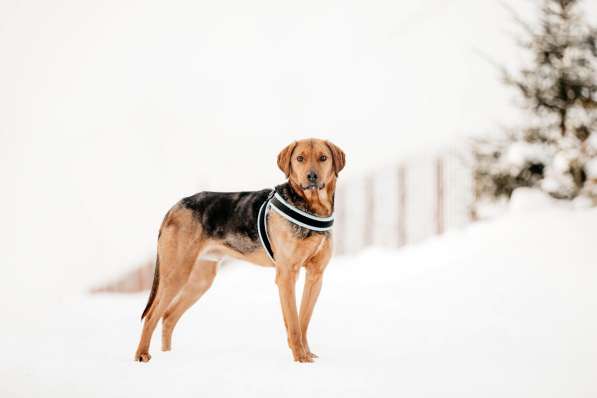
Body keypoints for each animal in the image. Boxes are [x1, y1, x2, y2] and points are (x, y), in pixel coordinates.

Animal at [134, 138, 344, 362]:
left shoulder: (315, 275)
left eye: (323, 157)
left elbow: (303, 320)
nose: (311, 177)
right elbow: (294, 323)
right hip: (176, 274)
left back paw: (168, 356)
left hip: (200, 280)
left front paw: (306, 354)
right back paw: (142, 354)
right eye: (300, 158)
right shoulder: (287, 275)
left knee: (168, 317)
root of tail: (174, 207)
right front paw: (300, 357)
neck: (311, 206)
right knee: (151, 316)